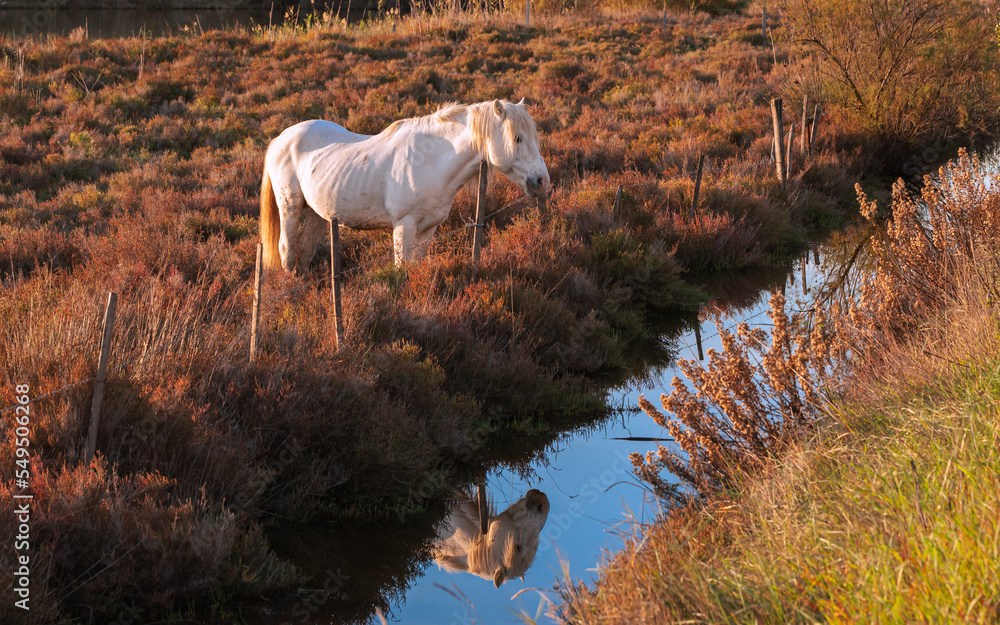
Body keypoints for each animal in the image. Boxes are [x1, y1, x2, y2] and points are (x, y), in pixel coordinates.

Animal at [259, 99, 550, 273]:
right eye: (517, 138)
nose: (542, 181)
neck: (431, 161)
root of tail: (280, 138)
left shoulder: (428, 229)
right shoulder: (404, 226)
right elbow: (402, 269)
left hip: (317, 213)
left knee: (305, 250)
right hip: (290, 206)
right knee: (287, 249)